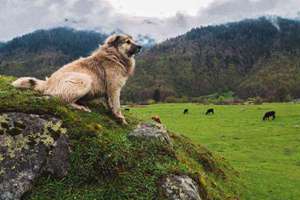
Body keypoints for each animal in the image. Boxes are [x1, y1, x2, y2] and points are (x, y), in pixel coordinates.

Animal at [11, 34, 142, 125]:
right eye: (127, 41)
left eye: (133, 40)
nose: (140, 46)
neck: (114, 55)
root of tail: (48, 83)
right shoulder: (114, 88)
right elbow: (117, 106)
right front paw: (121, 119)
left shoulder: (109, 91)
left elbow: (110, 104)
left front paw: (113, 114)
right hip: (85, 80)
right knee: (62, 100)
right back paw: (81, 107)